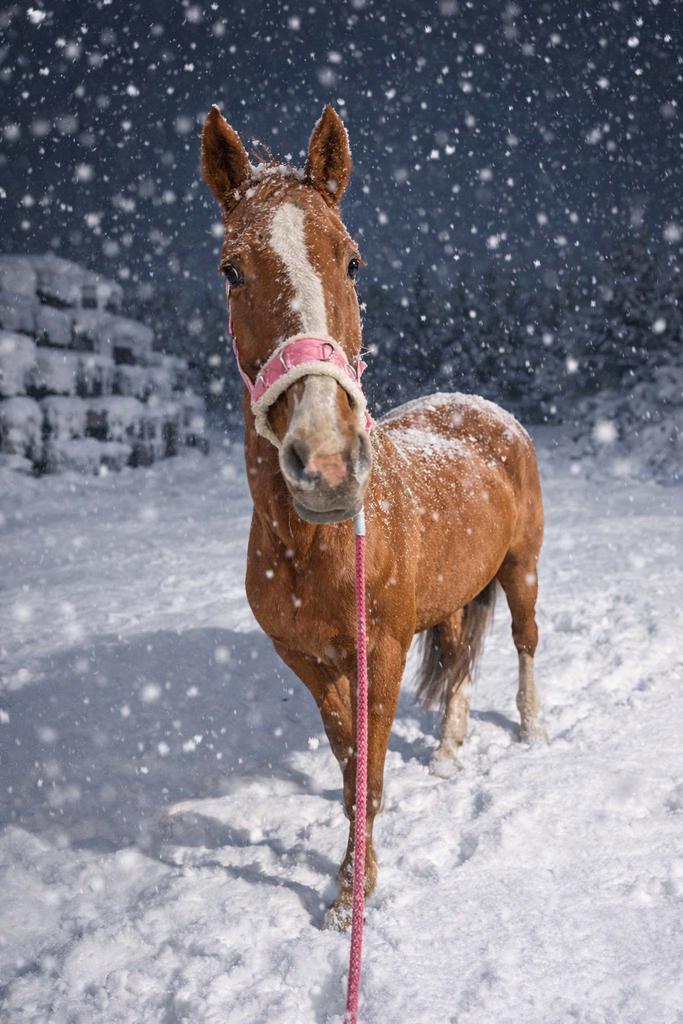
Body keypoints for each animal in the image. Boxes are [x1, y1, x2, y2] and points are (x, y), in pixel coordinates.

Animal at [200, 104, 546, 930]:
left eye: (352, 261)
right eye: (231, 270)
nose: (325, 463)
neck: (311, 546)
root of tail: (486, 412)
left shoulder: (379, 651)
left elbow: (372, 766)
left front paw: (353, 891)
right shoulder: (307, 660)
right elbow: (347, 761)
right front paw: (343, 886)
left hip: (521, 567)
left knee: (523, 642)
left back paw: (529, 725)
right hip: (455, 591)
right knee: (460, 659)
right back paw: (448, 751)